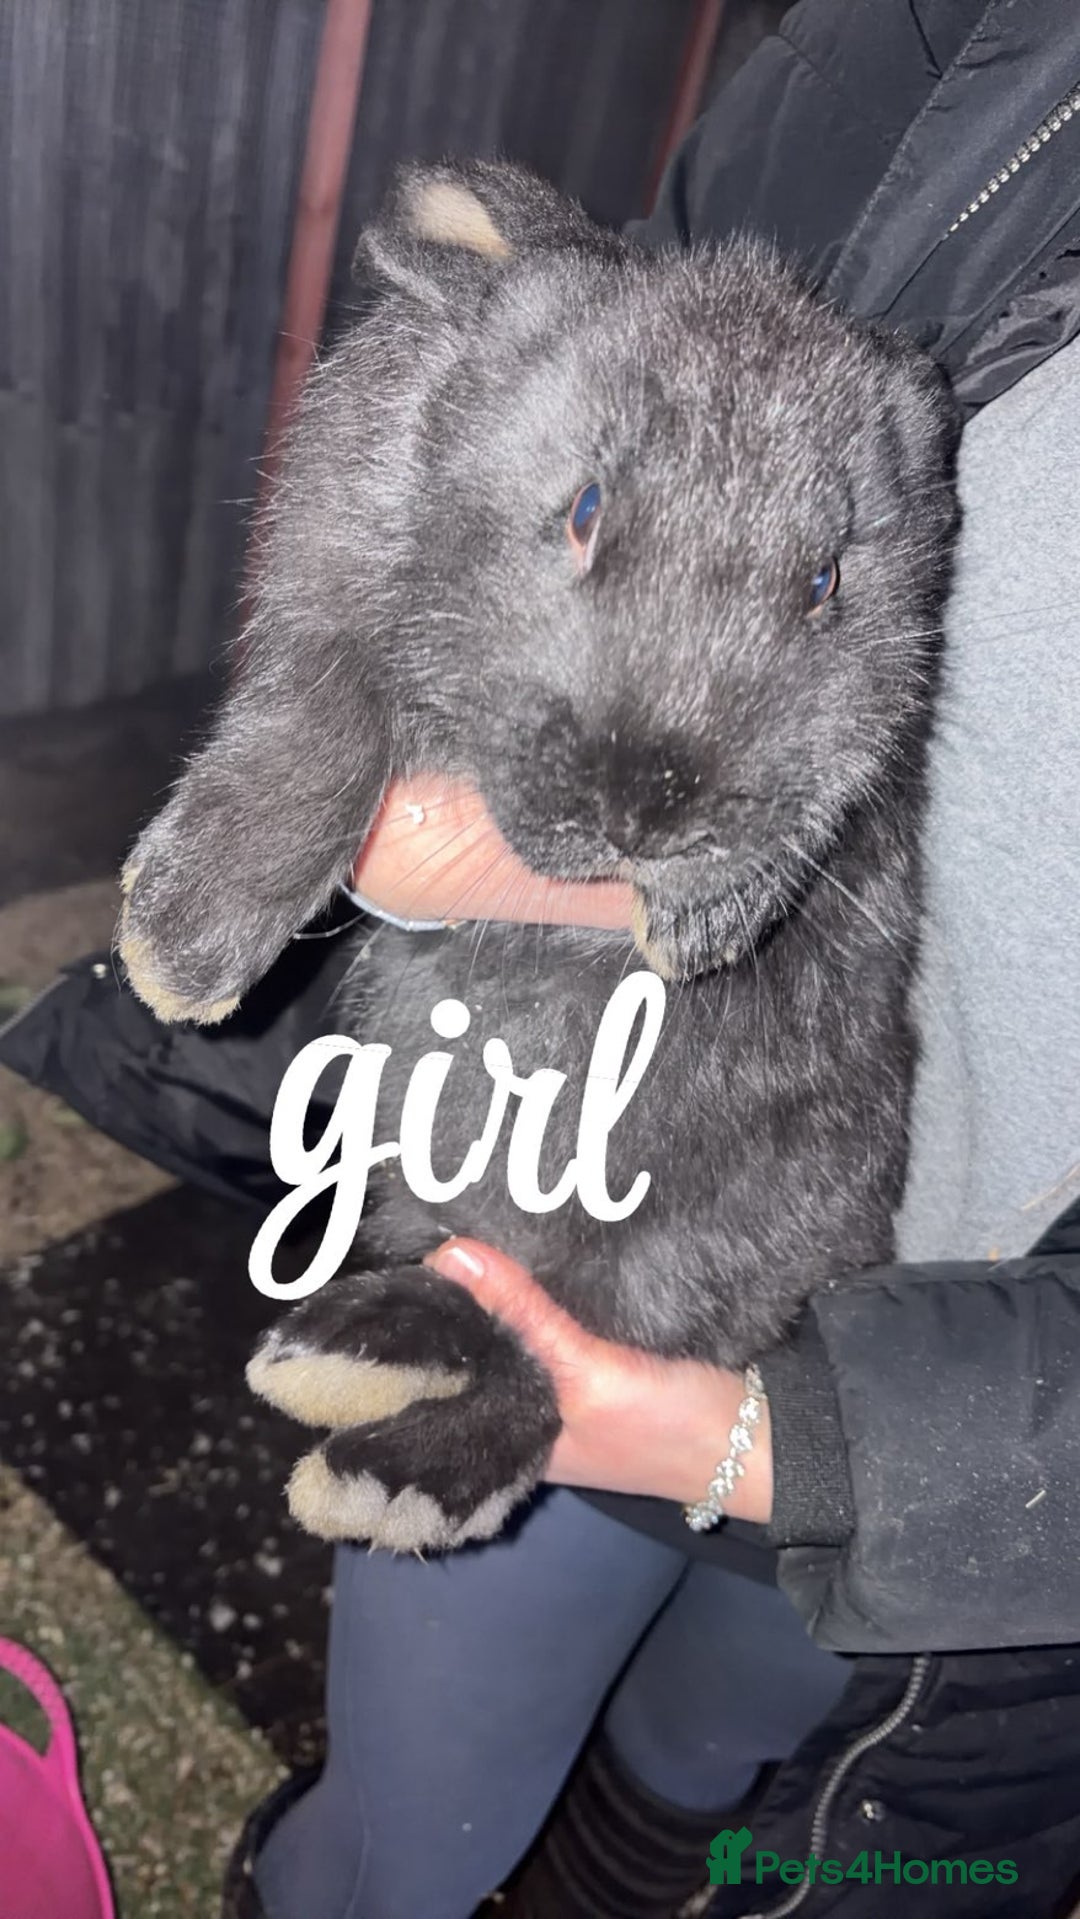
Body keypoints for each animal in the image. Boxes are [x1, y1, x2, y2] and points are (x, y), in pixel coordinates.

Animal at [118, 160, 960, 1552]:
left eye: (826, 582)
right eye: (583, 510)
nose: (647, 806)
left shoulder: (870, 721)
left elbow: (838, 775)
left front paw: (709, 916)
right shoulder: (335, 576)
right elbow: (326, 707)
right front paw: (179, 946)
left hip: (685, 1244)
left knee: (549, 1364)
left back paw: (376, 1456)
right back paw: (346, 1351)